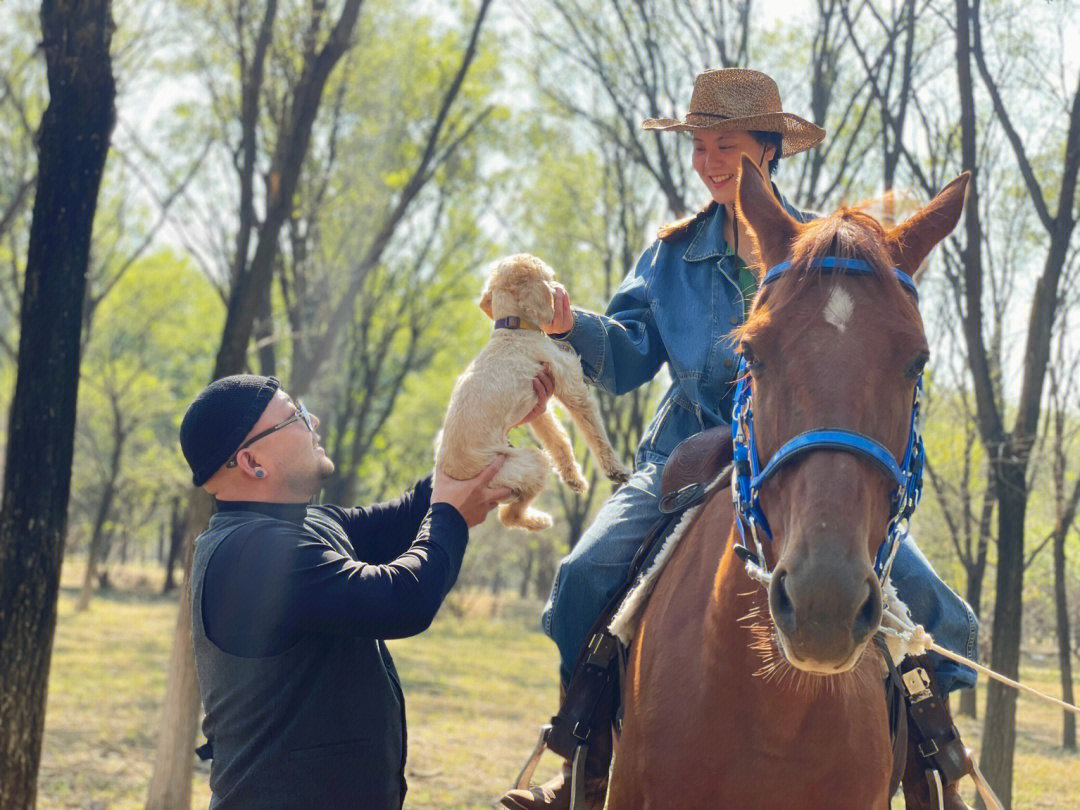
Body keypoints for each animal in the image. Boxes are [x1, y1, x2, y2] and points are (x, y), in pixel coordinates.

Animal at [432, 254, 630, 533]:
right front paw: (615, 470)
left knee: (508, 513)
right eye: (549, 276)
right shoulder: (571, 384)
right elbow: (594, 432)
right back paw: (542, 520)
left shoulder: (539, 407)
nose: (560, 289)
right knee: (508, 516)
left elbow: (559, 440)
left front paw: (574, 479)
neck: (514, 329)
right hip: (526, 465)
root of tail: (452, 476)